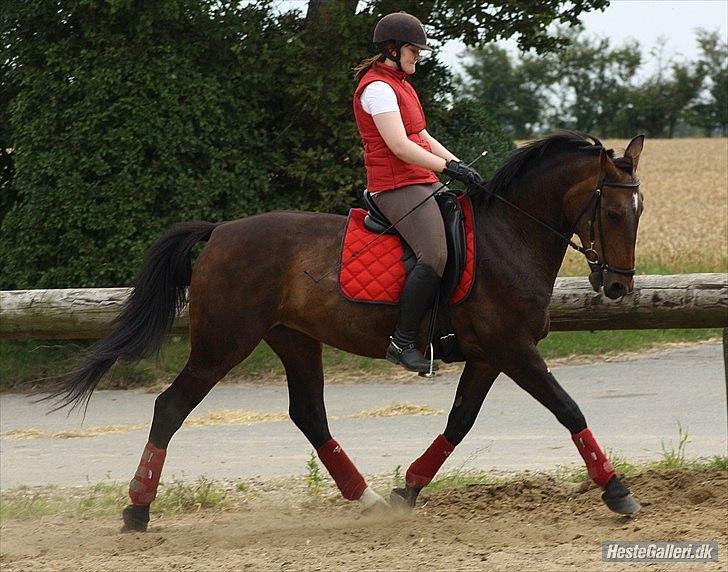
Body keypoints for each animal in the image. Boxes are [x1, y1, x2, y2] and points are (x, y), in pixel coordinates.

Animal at [48, 131, 644, 532]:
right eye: (615, 213)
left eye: (639, 212)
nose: (618, 286)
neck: (511, 235)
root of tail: (219, 232)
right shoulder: (514, 350)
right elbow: (568, 409)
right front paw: (617, 492)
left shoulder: (489, 356)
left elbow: (460, 421)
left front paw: (408, 489)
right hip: (223, 344)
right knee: (170, 407)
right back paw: (137, 509)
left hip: (293, 338)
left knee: (309, 415)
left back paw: (368, 499)